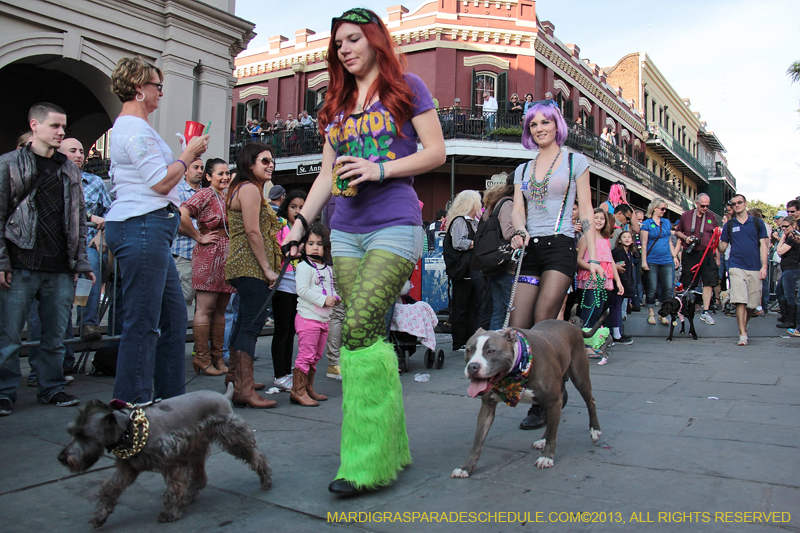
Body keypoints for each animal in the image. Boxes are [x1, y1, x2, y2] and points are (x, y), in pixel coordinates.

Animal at [58, 382, 272, 528]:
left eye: (84, 435)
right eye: (71, 433)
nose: (62, 458)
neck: (128, 430)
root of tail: (223, 397)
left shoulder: (172, 462)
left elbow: (173, 488)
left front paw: (170, 513)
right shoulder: (126, 469)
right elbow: (110, 490)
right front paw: (100, 516)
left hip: (232, 438)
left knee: (256, 456)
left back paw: (265, 479)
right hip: (196, 448)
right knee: (199, 476)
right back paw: (189, 495)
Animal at [450, 316, 608, 478]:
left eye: (491, 351)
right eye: (468, 350)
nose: (472, 367)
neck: (515, 371)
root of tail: (572, 325)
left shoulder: (554, 401)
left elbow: (553, 434)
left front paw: (547, 457)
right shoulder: (487, 407)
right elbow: (478, 440)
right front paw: (466, 467)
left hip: (580, 376)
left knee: (590, 401)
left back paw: (595, 430)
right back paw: (543, 440)